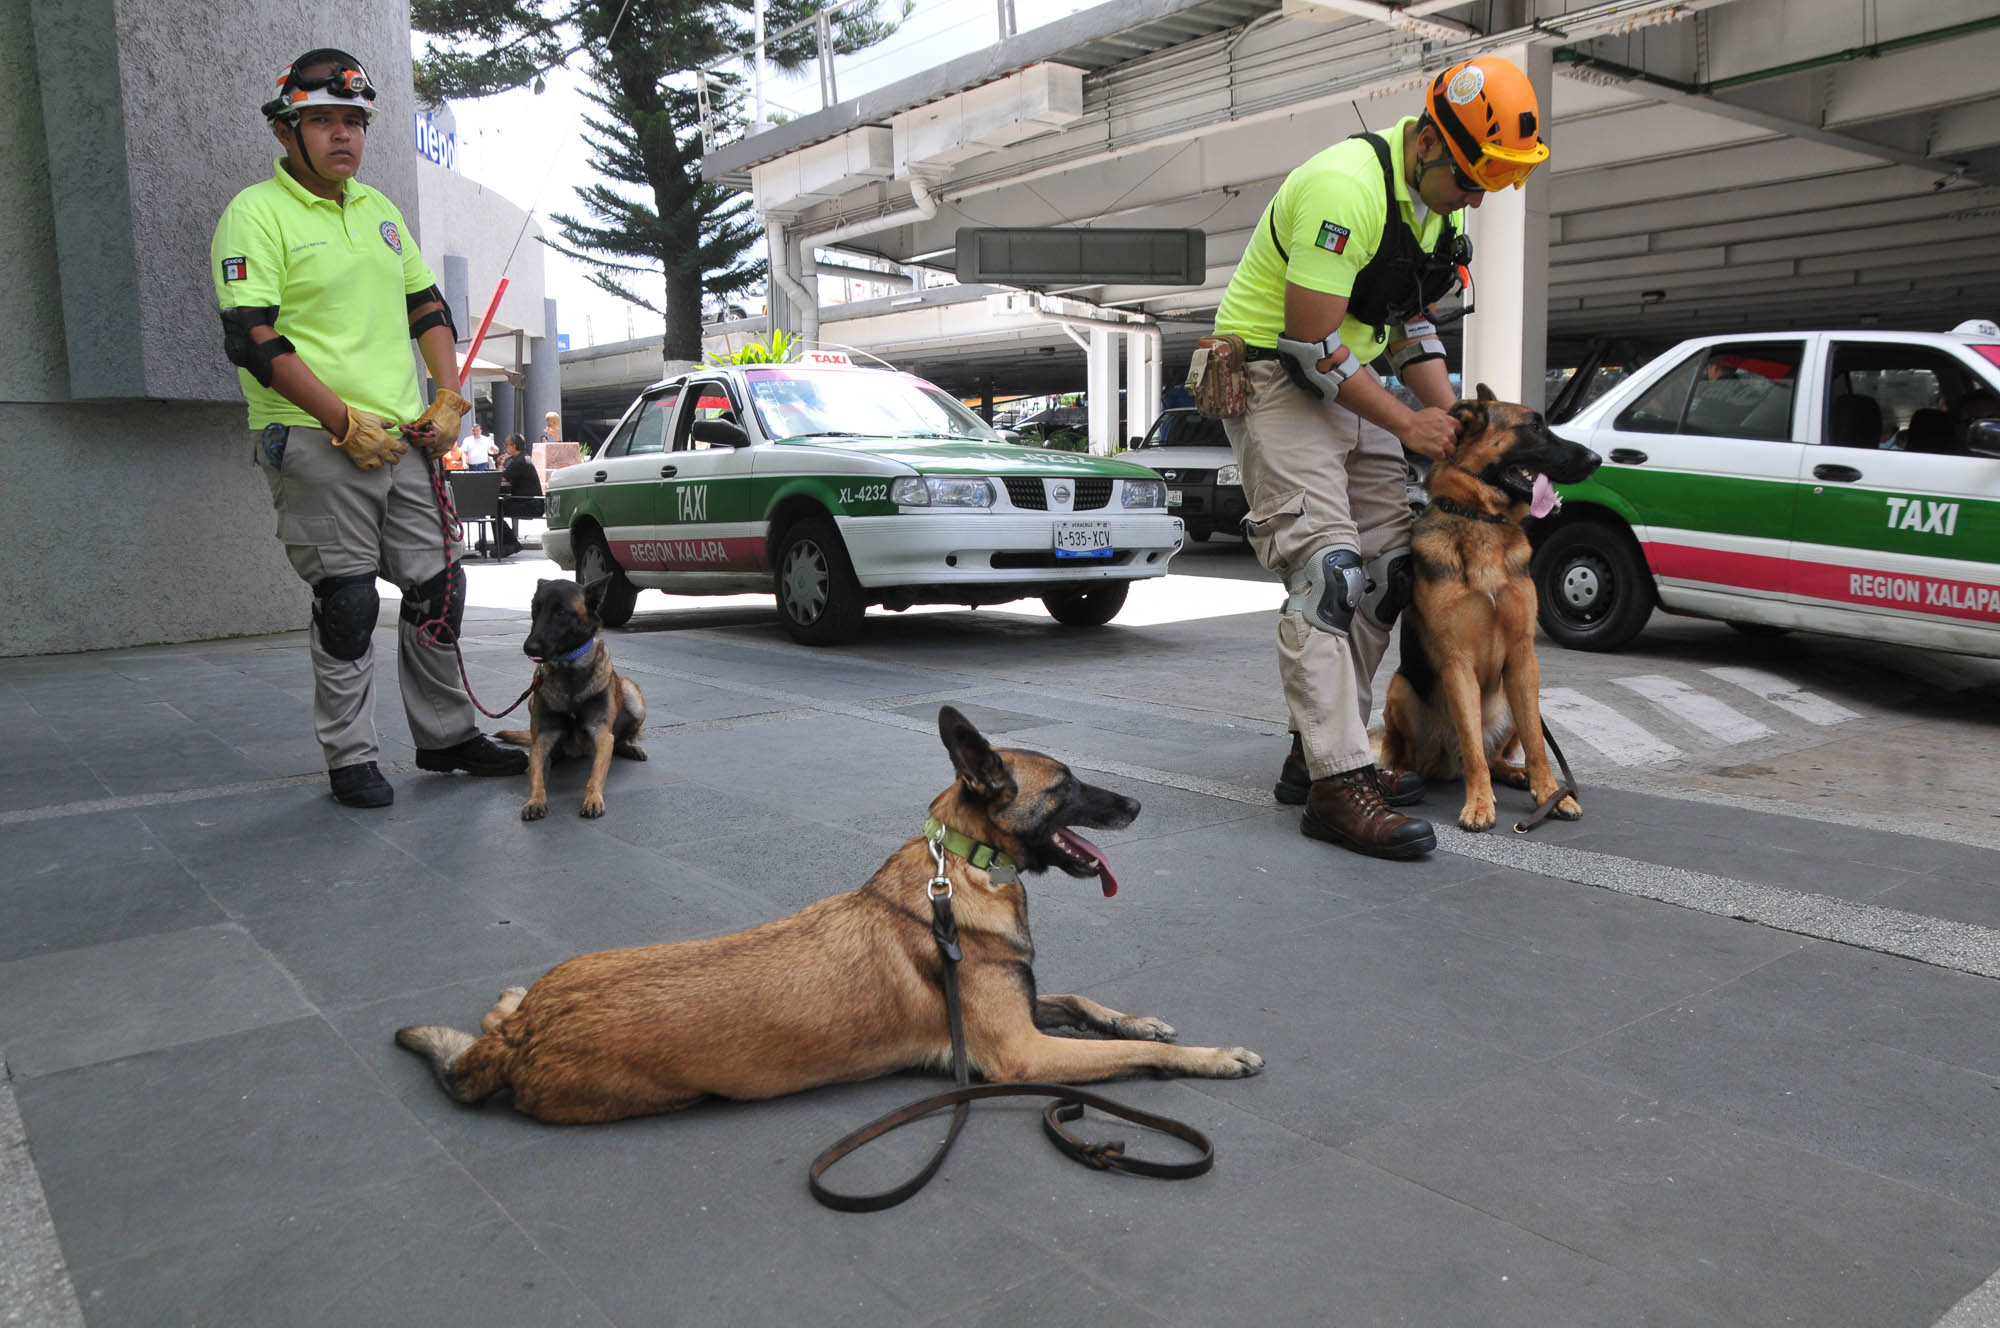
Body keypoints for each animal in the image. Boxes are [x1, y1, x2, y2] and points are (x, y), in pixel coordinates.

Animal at [396, 704, 1256, 1120]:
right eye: (1068, 786)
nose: (1138, 804)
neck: (964, 873)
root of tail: (522, 1042)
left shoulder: (1026, 1007)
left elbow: (1081, 998)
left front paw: (1140, 1018)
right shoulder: (1022, 1056)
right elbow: (1139, 1056)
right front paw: (1213, 1057)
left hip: (569, 971)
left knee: (500, 1007)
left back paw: (506, 1001)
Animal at [498, 580, 648, 820]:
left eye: (561, 612)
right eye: (535, 609)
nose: (529, 647)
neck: (569, 666)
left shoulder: (602, 734)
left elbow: (596, 773)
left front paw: (593, 798)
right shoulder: (542, 739)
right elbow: (537, 775)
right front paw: (535, 800)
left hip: (632, 696)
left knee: (619, 740)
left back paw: (631, 748)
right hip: (532, 706)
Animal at [1368, 384, 1600, 832]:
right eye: (1534, 427)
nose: (1598, 460)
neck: (1482, 520)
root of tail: (1444, 765)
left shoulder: (1524, 658)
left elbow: (1537, 746)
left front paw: (1550, 793)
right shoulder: (1457, 663)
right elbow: (1473, 742)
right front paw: (1478, 804)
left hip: (1516, 698)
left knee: (1498, 755)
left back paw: (1516, 774)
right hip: (1401, 689)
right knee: (1416, 754)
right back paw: (1404, 776)